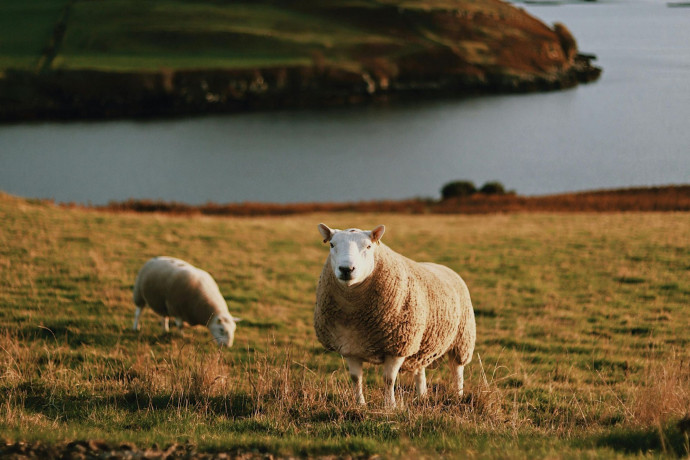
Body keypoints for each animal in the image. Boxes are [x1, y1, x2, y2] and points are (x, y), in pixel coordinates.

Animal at [314, 223, 476, 406]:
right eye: (331, 245)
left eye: (368, 247)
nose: (346, 269)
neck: (354, 312)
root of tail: (443, 266)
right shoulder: (350, 346)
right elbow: (356, 378)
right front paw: (360, 404)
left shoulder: (398, 346)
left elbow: (389, 379)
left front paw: (390, 406)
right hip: (420, 342)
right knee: (419, 370)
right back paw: (422, 396)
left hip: (462, 339)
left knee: (457, 370)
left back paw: (458, 396)